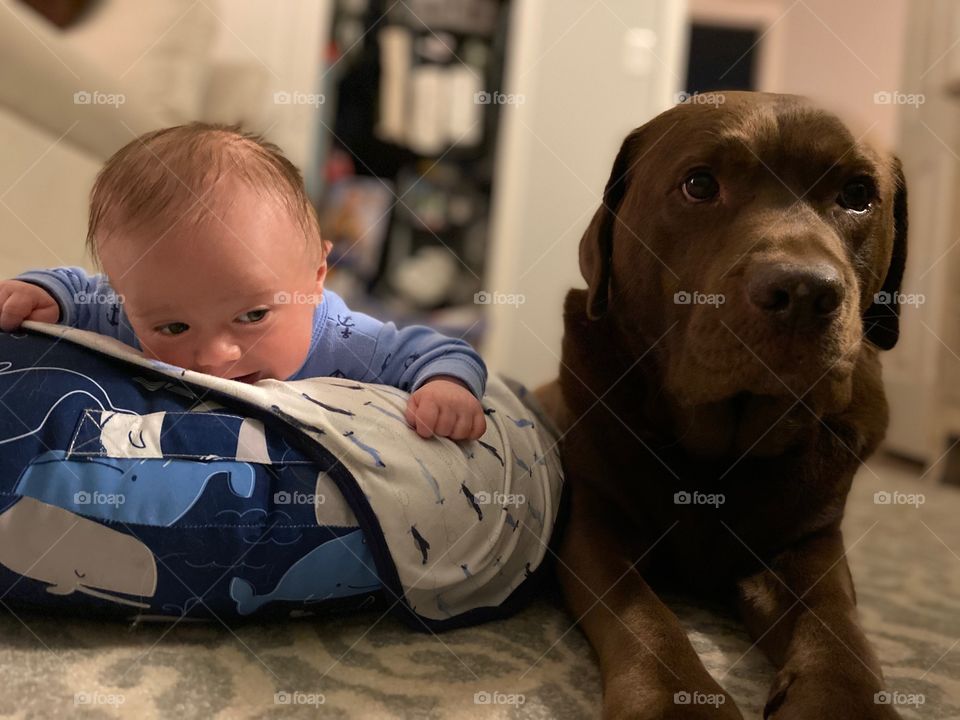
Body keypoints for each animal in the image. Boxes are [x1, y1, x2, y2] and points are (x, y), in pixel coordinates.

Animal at [540, 91, 908, 720]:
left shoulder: (809, 541)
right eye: (699, 184)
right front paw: (675, 701)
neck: (722, 453)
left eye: (858, 194)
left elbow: (836, 620)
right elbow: (640, 611)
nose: (804, 292)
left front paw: (845, 697)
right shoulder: (593, 521)